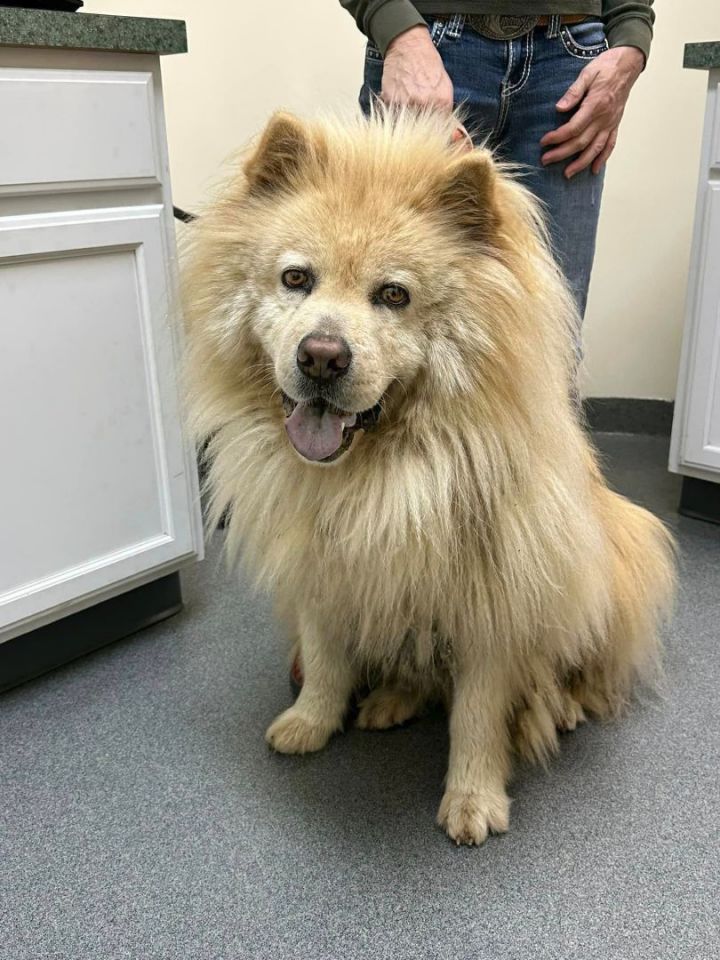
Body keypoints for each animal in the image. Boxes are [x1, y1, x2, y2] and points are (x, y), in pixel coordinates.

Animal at [183, 109, 676, 844]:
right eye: (296, 279)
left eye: (393, 295)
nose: (321, 356)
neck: (381, 475)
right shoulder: (326, 573)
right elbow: (325, 660)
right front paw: (311, 721)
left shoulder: (494, 604)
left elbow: (477, 713)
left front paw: (473, 798)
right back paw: (391, 699)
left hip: (620, 558)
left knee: (579, 672)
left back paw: (560, 706)